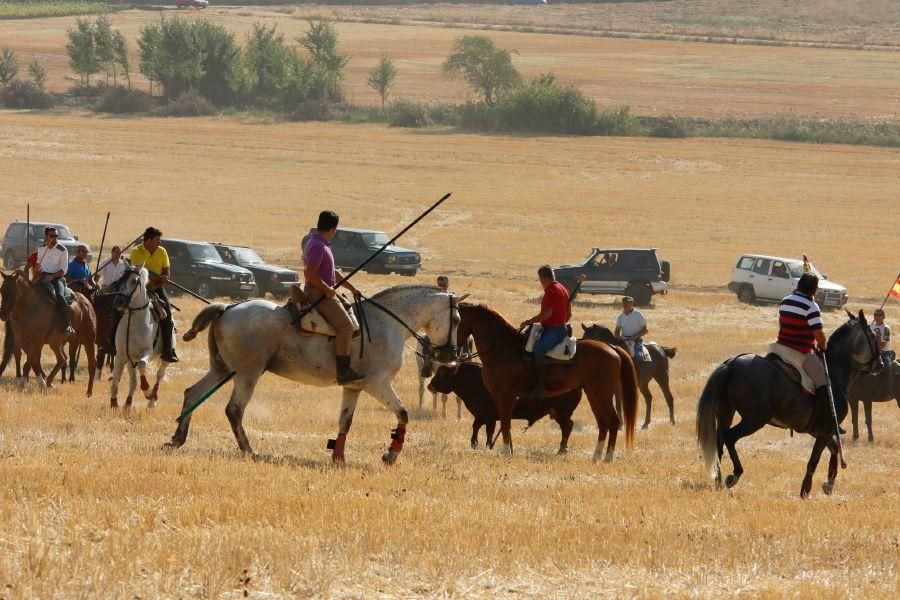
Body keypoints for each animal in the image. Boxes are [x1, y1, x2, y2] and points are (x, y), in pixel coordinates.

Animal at [109, 270, 171, 410]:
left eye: (134, 281)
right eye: (120, 279)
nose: (119, 301)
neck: (134, 321)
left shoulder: (146, 351)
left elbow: (143, 366)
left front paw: (147, 391)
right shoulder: (121, 355)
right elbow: (115, 380)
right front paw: (114, 404)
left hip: (165, 359)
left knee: (160, 375)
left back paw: (152, 400)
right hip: (132, 360)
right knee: (133, 381)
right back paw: (127, 404)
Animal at [168, 284, 460, 464]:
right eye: (457, 320)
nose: (450, 355)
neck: (387, 323)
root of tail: (228, 308)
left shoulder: (353, 387)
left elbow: (345, 422)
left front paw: (338, 457)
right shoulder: (378, 384)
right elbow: (402, 413)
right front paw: (390, 455)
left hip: (223, 368)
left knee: (193, 393)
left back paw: (177, 439)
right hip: (248, 372)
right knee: (234, 409)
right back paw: (250, 451)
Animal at [458, 302, 640, 462]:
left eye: (456, 320)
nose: (457, 348)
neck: (503, 348)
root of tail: (612, 348)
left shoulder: (505, 395)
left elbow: (504, 424)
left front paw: (505, 452)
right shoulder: (499, 397)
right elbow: (504, 424)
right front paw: (508, 450)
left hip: (602, 394)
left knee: (612, 421)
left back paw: (607, 458)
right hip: (593, 394)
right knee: (602, 423)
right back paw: (595, 457)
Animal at [696, 310, 880, 496]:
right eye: (872, 335)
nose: (880, 364)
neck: (834, 372)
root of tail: (731, 364)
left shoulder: (821, 431)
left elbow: (834, 449)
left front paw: (829, 484)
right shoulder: (824, 432)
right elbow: (814, 460)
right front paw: (805, 490)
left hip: (726, 413)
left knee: (719, 442)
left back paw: (718, 480)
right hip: (754, 420)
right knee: (729, 437)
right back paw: (734, 474)